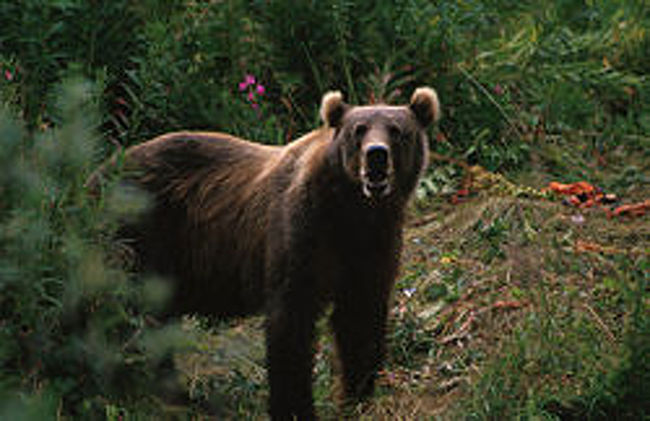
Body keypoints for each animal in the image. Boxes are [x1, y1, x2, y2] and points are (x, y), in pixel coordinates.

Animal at [100, 87, 436, 418]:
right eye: (359, 130)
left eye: (397, 131)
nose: (376, 155)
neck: (352, 210)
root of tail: (100, 172)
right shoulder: (301, 231)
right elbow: (291, 321)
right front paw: (295, 407)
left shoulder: (372, 246)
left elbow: (360, 317)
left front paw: (356, 396)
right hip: (140, 232)